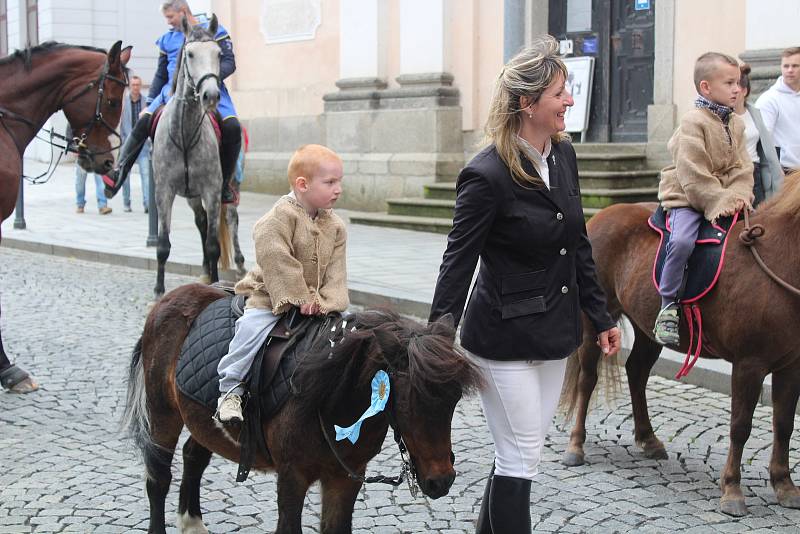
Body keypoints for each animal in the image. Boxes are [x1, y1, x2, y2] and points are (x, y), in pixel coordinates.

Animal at [119, 286, 482, 534]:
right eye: (408, 401)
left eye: (454, 400)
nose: (442, 481)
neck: (331, 397)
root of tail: (168, 300)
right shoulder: (292, 475)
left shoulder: (346, 477)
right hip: (163, 411)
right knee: (158, 477)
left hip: (204, 422)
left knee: (194, 455)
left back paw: (192, 522)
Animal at [152, 15, 234, 302]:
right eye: (189, 54)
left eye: (218, 53)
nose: (211, 95)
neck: (185, 133)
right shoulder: (164, 192)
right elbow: (163, 245)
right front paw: (159, 291)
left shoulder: (211, 190)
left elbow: (213, 245)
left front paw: (216, 285)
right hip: (191, 197)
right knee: (200, 223)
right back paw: (205, 271)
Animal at [560, 173, 800, 520]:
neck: (780, 258)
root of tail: (600, 216)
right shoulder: (748, 365)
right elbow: (740, 426)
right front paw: (732, 489)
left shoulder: (791, 366)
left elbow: (783, 424)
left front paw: (784, 485)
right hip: (596, 324)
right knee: (587, 380)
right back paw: (576, 446)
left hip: (646, 329)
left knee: (636, 373)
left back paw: (648, 439)